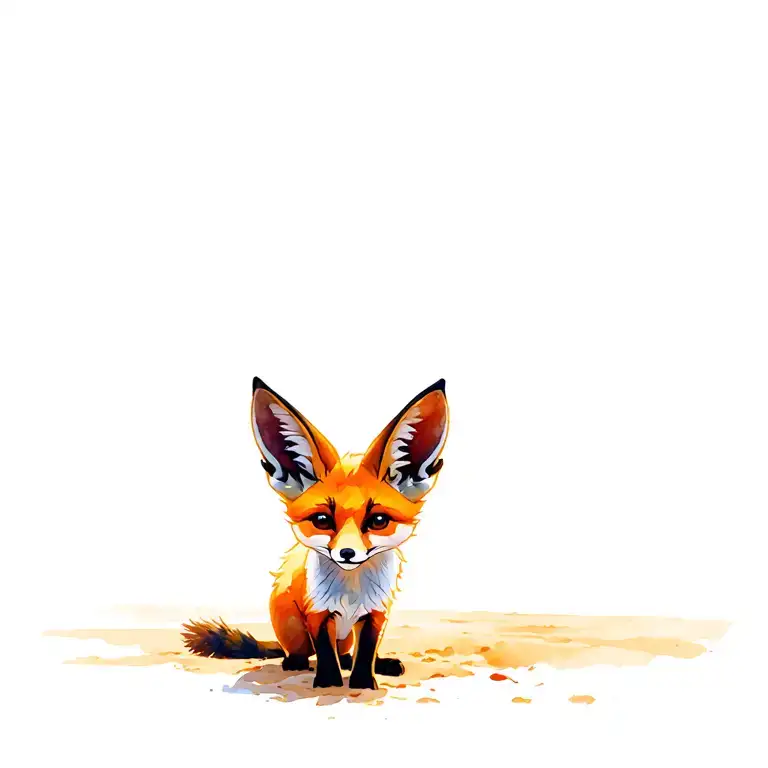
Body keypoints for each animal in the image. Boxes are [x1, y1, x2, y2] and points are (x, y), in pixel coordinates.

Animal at [182, 376, 449, 689]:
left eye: (379, 520)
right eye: (322, 520)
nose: (347, 553)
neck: (351, 592)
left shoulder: (376, 615)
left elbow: (366, 651)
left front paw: (362, 682)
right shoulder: (316, 613)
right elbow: (324, 650)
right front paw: (329, 682)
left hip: (348, 635)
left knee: (348, 653)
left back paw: (372, 663)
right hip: (292, 626)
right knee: (300, 652)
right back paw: (296, 662)